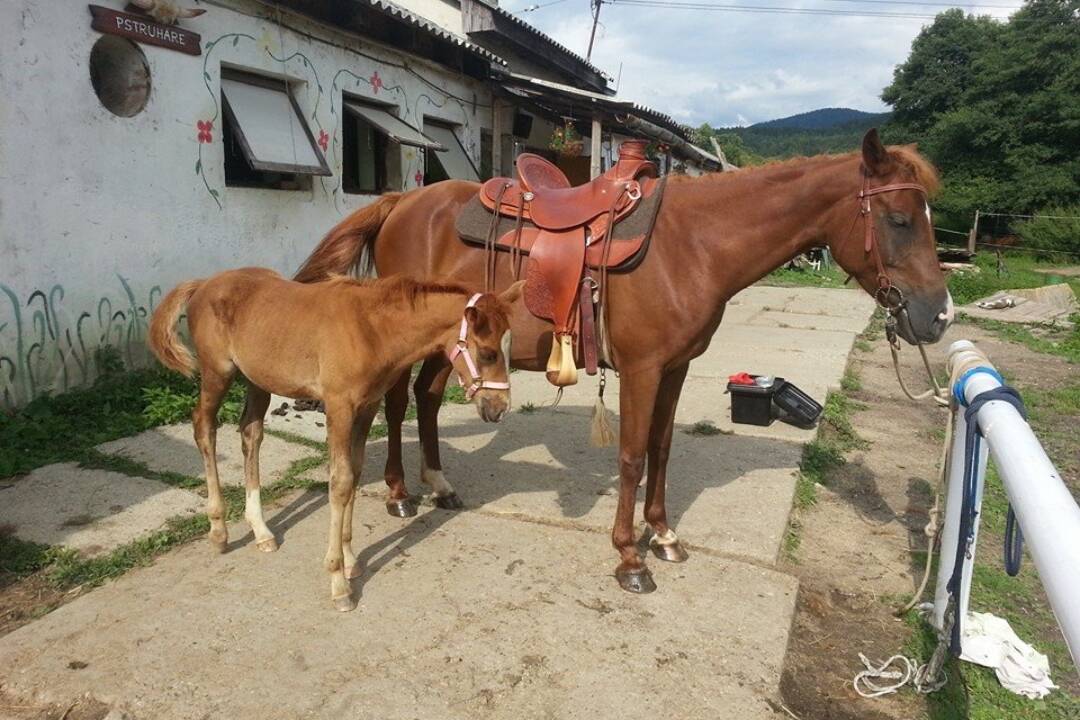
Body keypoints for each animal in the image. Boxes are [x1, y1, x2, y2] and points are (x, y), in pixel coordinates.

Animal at [151, 267, 522, 613]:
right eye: (487, 353)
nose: (499, 408)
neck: (371, 331)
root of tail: (204, 283)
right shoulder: (339, 407)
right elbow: (340, 482)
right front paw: (338, 583)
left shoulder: (366, 407)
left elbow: (354, 476)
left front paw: (350, 559)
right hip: (218, 372)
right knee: (204, 428)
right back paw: (218, 530)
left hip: (258, 378)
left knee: (250, 434)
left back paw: (261, 531)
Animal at [293, 132, 954, 595]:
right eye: (899, 220)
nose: (938, 316)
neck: (693, 245)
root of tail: (404, 199)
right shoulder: (641, 368)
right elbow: (633, 455)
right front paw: (630, 557)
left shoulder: (676, 368)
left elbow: (661, 449)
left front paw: (662, 534)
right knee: (398, 404)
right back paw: (401, 494)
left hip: (451, 343)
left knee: (427, 400)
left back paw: (439, 485)